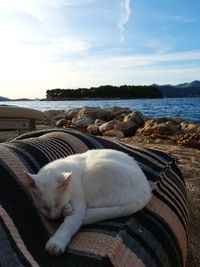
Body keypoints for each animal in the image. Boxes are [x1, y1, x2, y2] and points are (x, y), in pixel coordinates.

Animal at [24, 150, 152, 256]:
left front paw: (56, 242)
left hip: (95, 171)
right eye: (43, 207)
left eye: (58, 204)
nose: (53, 217)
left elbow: (69, 223)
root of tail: (146, 192)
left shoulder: (79, 201)